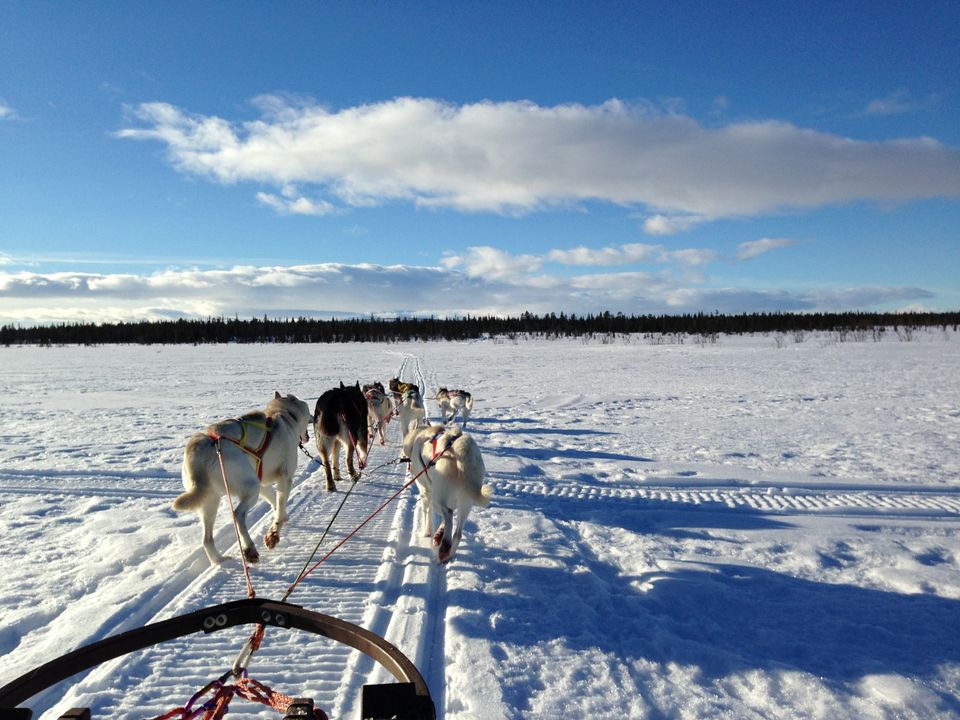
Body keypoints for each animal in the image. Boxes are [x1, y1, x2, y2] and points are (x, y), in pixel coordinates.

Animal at [171, 390, 310, 564]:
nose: (313, 418)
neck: (283, 415)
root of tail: (201, 446)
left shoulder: (261, 482)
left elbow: (274, 500)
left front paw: (283, 516)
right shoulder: (285, 478)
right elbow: (279, 505)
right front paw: (274, 533)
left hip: (211, 501)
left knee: (207, 540)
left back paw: (220, 560)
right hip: (250, 489)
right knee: (237, 515)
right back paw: (249, 549)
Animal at [404, 422, 496, 564]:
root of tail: (462, 451)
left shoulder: (426, 492)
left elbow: (427, 514)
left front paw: (427, 533)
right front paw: (438, 533)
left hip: (436, 497)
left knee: (448, 514)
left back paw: (444, 546)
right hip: (465, 500)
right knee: (457, 532)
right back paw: (447, 551)